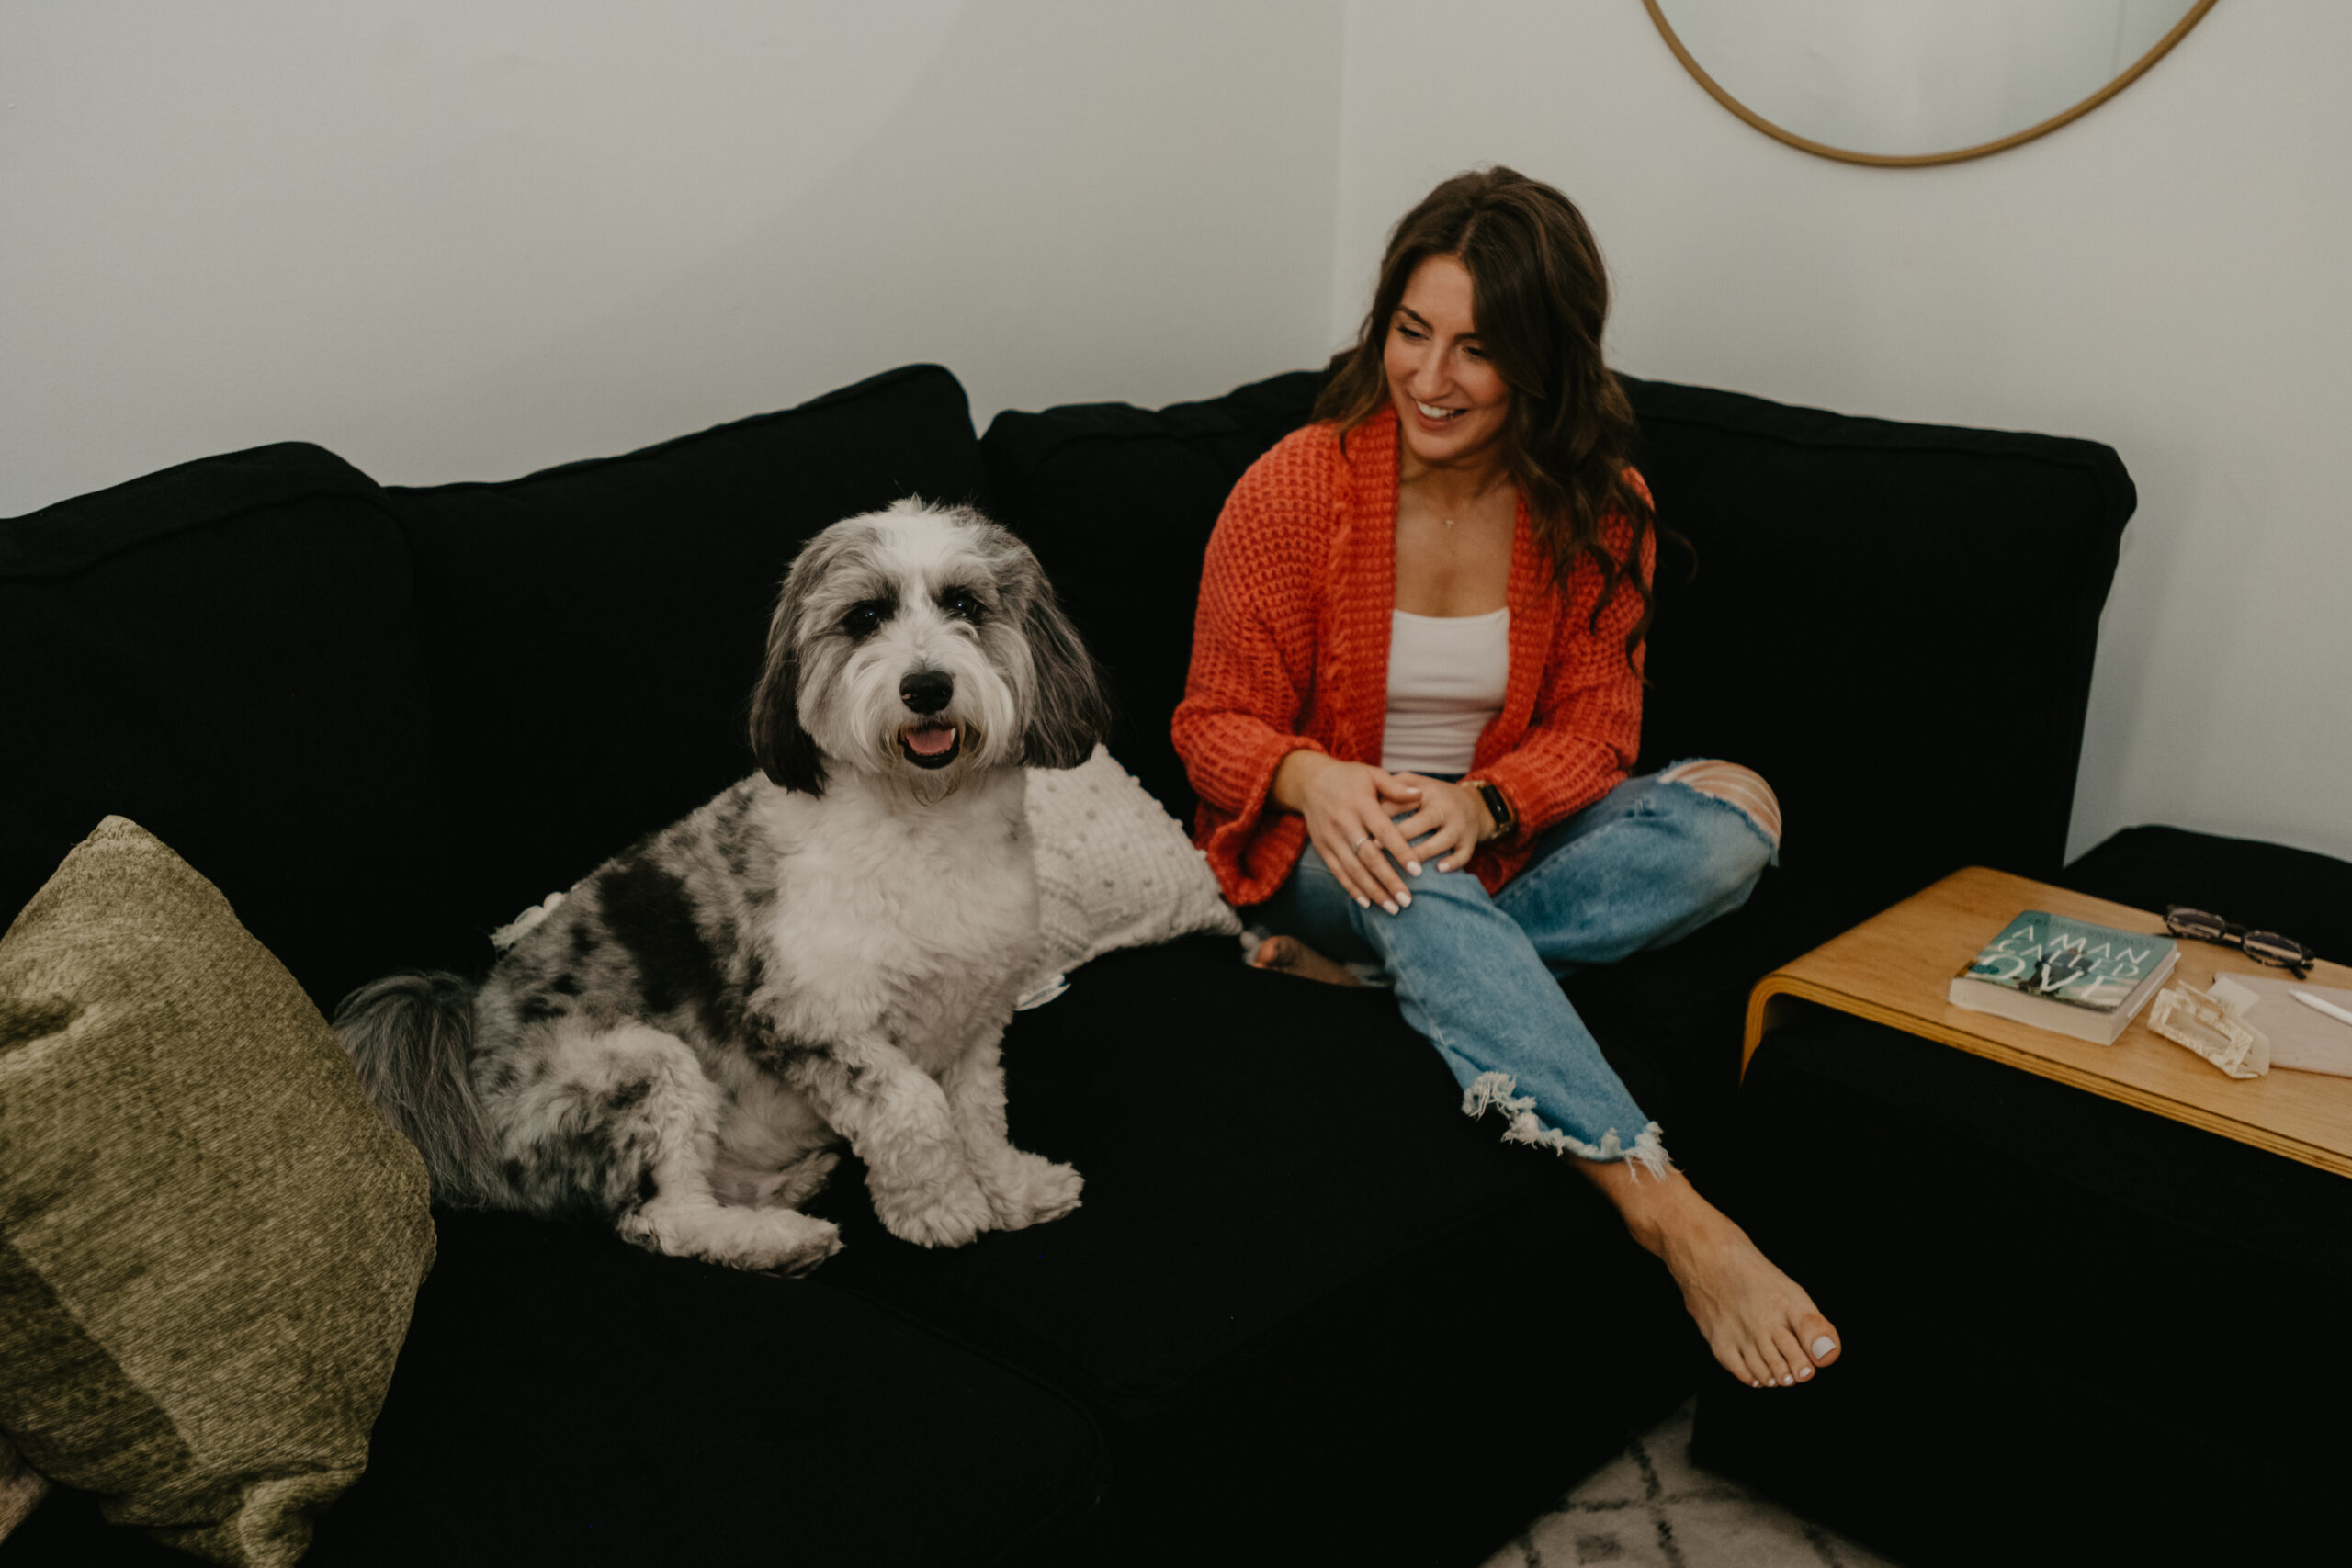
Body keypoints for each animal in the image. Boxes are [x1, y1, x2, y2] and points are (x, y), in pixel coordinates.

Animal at [336, 502, 1114, 1279]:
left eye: (965, 605)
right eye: (865, 617)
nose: (926, 687)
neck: (925, 823)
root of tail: (467, 1044)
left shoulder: (975, 1016)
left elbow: (979, 1114)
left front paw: (1013, 1188)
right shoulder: (807, 1018)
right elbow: (914, 1105)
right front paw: (939, 1207)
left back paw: (791, 1185)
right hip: (644, 1072)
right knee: (664, 1218)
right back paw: (775, 1239)